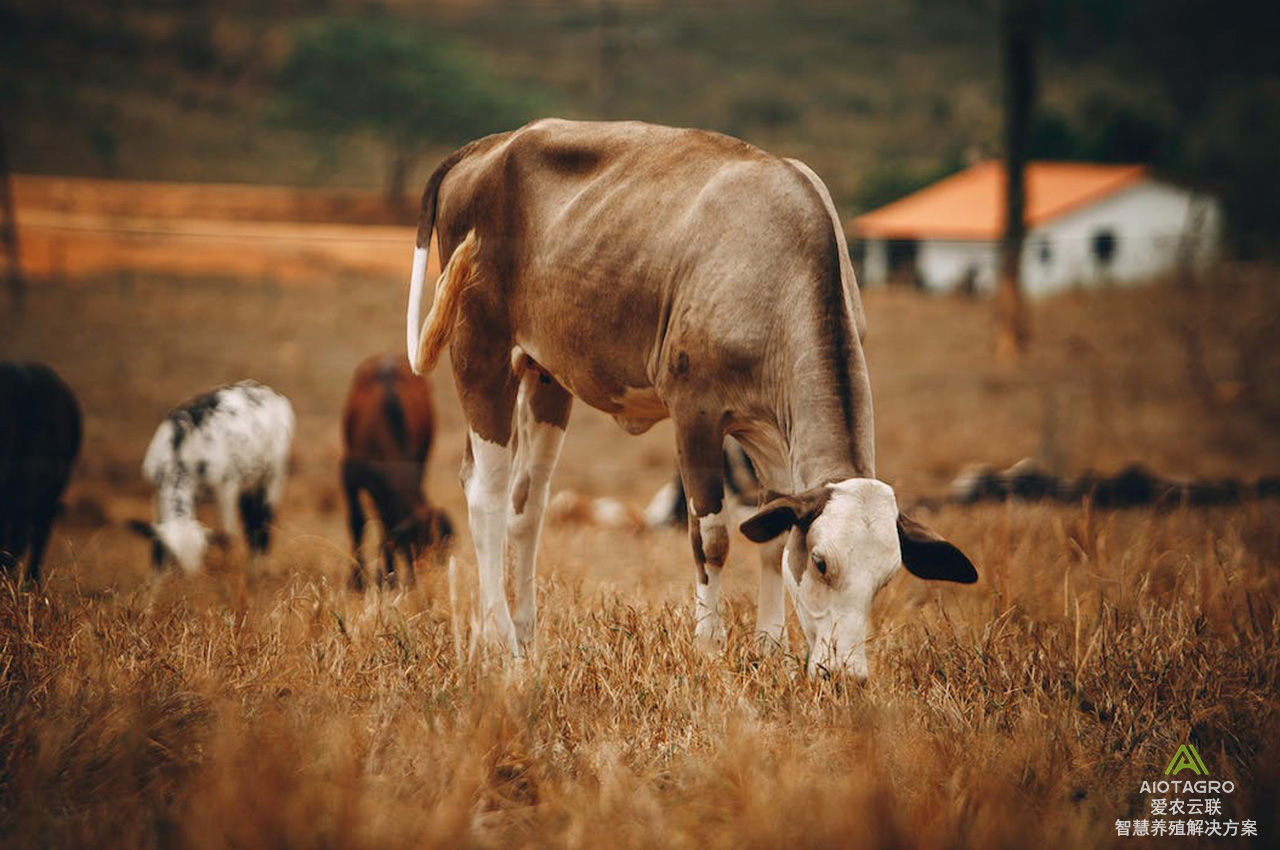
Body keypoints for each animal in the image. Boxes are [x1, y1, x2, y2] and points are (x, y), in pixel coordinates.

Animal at [133, 378, 296, 570]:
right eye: (174, 558)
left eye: (200, 556)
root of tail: (269, 391)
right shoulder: (157, 492)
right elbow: (157, 544)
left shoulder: (226, 486)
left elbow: (227, 535)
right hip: (249, 480)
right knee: (251, 518)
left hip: (274, 472)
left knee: (264, 517)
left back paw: (257, 568)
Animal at [343, 353, 453, 591]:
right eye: (413, 543)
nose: (419, 580)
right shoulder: (349, 474)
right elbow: (357, 523)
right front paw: (356, 581)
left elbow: (387, 525)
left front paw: (387, 577)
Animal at [404, 117, 972, 675]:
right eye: (822, 562)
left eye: (886, 579)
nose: (845, 676)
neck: (778, 268)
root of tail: (492, 144)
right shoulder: (695, 413)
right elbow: (713, 537)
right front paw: (709, 647)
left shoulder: (769, 433)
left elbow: (769, 538)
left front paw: (771, 650)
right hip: (479, 353)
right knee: (487, 495)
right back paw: (501, 645)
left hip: (546, 377)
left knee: (526, 504)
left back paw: (523, 641)